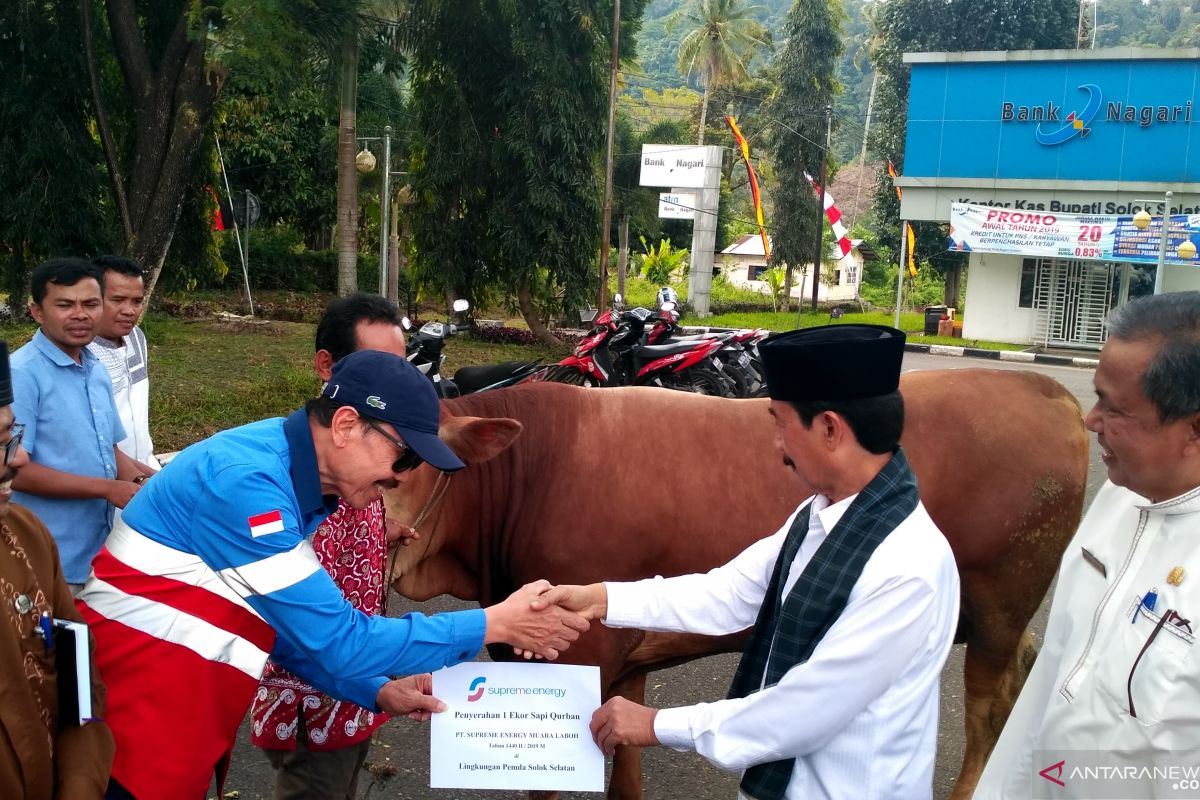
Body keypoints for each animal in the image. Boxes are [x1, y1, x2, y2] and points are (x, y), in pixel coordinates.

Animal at [384, 371, 1089, 800]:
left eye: (406, 463)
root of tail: (1045, 388)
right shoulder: (626, 655)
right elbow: (627, 773)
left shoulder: (580, 658)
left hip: (1001, 606)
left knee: (988, 709)